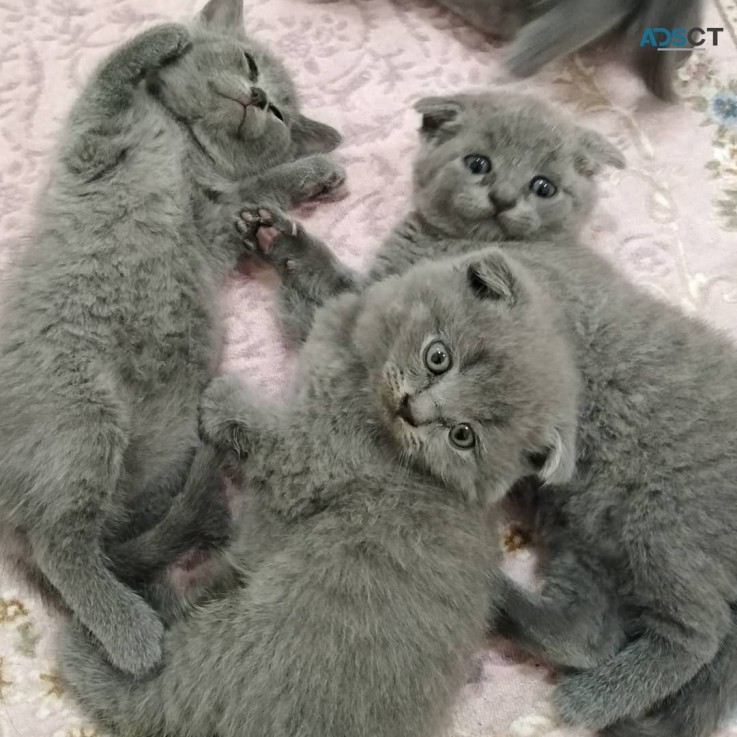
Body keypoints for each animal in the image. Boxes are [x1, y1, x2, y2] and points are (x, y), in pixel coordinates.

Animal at [0, 0, 344, 676]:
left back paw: (137, 617)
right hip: (81, 409)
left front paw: (312, 173)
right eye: (249, 64)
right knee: (60, 542)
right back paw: (135, 632)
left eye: (277, 114)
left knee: (82, 541)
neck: (185, 144)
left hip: (141, 434)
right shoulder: (94, 140)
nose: (258, 96)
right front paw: (168, 35)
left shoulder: (212, 221)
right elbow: (110, 73)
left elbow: (253, 191)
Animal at [59, 246, 580, 736]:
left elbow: (272, 435)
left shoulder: (312, 457)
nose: (414, 410)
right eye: (439, 357)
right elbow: (318, 314)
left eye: (462, 435)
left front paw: (222, 399)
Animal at [246, 89, 736, 732]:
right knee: (587, 633)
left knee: (696, 631)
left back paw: (590, 698)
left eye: (543, 186)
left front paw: (290, 242)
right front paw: (272, 233)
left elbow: (337, 301)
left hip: (664, 523)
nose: (503, 198)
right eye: (478, 163)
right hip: (585, 534)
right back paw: (504, 603)